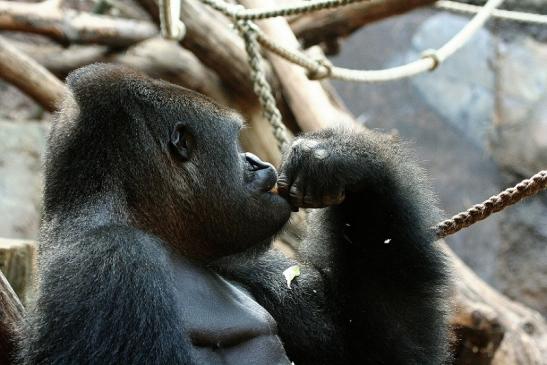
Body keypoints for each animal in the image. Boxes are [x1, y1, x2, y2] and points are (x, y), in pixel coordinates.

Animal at [19, 64, 452, 362]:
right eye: (234, 142)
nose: (257, 162)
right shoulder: (108, 260)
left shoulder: (243, 261)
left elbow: (384, 350)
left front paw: (339, 158)